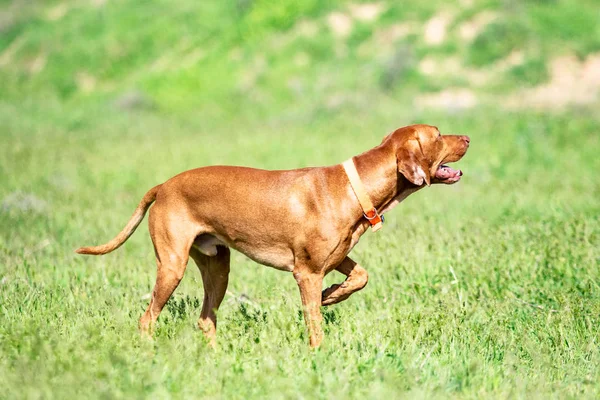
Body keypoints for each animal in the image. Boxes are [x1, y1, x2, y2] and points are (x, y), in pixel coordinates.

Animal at [76, 123, 468, 346]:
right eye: (437, 135)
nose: (467, 137)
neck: (354, 187)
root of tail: (163, 186)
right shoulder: (306, 272)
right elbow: (315, 325)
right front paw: (318, 354)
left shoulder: (334, 259)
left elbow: (361, 276)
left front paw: (331, 295)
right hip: (172, 266)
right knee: (147, 319)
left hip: (218, 267)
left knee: (205, 319)